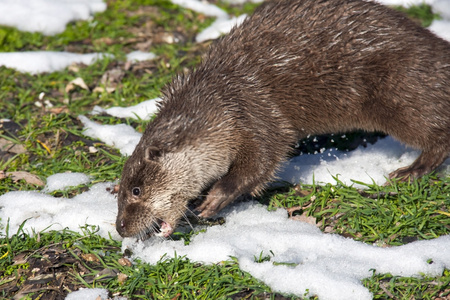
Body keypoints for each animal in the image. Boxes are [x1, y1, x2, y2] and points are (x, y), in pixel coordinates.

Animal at [117, 0, 450, 239]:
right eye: (119, 190)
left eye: (136, 191)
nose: (120, 227)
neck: (220, 100)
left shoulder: (256, 116)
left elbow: (264, 158)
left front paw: (215, 198)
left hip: (402, 92)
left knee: (437, 133)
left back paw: (411, 170)